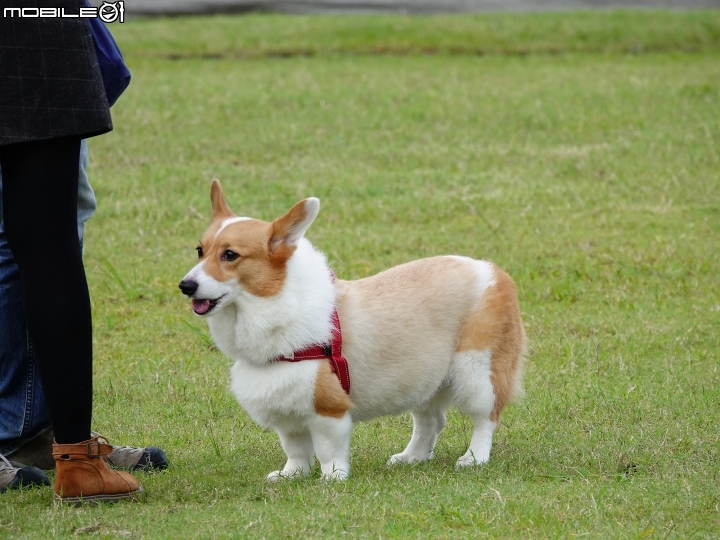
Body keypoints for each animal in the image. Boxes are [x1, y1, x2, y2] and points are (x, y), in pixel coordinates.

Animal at [180, 181, 524, 480]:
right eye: (200, 251)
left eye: (230, 255)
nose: (186, 286)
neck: (274, 304)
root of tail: (494, 270)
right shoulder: (286, 408)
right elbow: (295, 449)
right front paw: (292, 475)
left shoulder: (328, 409)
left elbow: (327, 450)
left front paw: (332, 478)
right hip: (425, 378)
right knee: (431, 420)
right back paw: (411, 457)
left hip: (477, 372)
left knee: (485, 417)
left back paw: (474, 458)